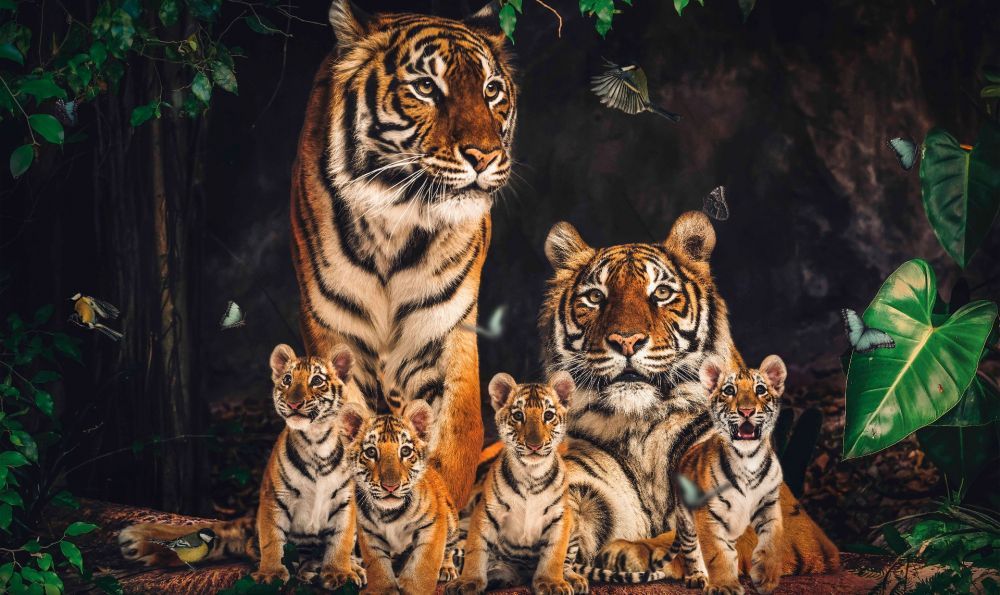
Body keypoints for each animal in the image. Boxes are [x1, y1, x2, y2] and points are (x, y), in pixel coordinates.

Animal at [118, 344, 367, 588]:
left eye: (316, 380)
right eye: (287, 379)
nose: (293, 403)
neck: (317, 443)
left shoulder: (345, 501)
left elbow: (341, 541)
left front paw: (339, 572)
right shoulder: (274, 497)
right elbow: (272, 540)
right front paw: (271, 574)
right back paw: (308, 568)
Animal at [291, 0, 517, 511]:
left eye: (492, 90)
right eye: (426, 87)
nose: (484, 156)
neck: (396, 221)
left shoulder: (444, 331)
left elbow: (454, 438)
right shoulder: (334, 334)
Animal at [340, 399, 460, 594]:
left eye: (405, 451)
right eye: (371, 452)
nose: (391, 486)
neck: (388, 513)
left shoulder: (433, 524)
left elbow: (423, 564)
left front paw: (414, 588)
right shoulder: (369, 533)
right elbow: (378, 566)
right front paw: (384, 589)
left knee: (449, 548)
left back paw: (446, 568)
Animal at [446, 372, 588, 595]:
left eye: (548, 415)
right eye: (518, 416)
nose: (534, 445)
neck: (531, 474)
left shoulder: (560, 516)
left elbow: (555, 554)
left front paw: (552, 582)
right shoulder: (486, 512)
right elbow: (476, 549)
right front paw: (468, 581)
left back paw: (573, 579)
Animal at [671, 355, 788, 595]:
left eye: (760, 389)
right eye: (729, 390)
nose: (746, 411)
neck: (748, 459)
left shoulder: (769, 504)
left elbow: (772, 540)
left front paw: (766, 577)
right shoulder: (708, 513)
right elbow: (717, 552)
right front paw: (724, 585)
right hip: (685, 520)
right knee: (692, 548)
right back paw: (698, 576)